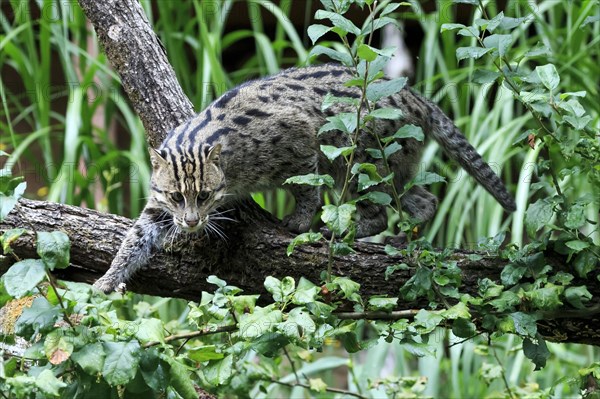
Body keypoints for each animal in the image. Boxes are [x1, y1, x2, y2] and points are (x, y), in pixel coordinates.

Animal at [94, 63, 516, 294]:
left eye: (205, 195)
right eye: (177, 197)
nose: (192, 222)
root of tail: (414, 96)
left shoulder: (299, 139)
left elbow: (305, 187)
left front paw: (298, 221)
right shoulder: (157, 207)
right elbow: (136, 237)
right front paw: (109, 277)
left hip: (357, 161)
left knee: (383, 210)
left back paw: (348, 232)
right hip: (385, 169)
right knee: (423, 200)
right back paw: (403, 234)